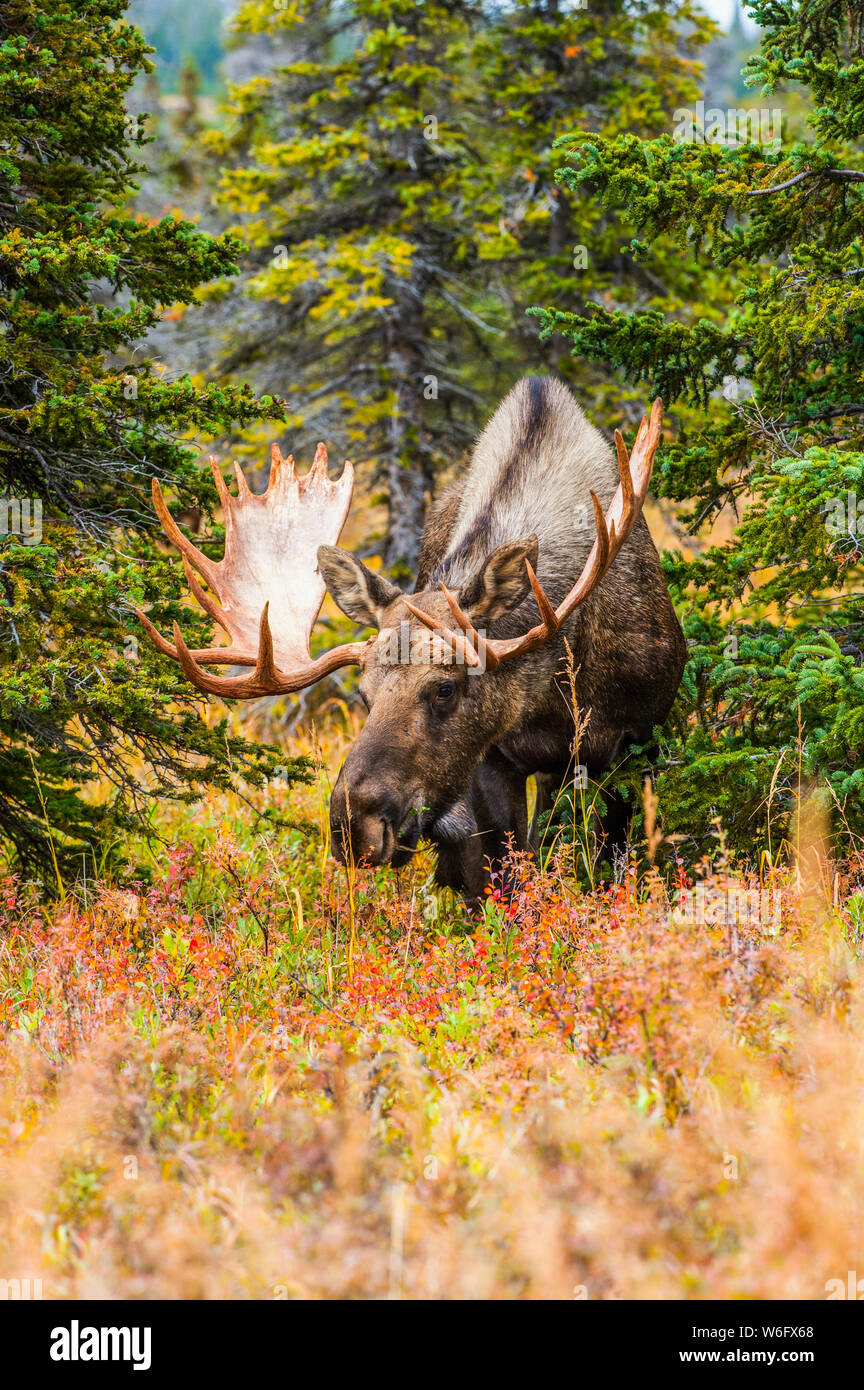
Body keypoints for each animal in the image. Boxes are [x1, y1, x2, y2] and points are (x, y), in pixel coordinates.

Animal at [138, 380, 686, 900]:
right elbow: (506, 878)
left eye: (445, 687)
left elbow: (610, 867)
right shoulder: (490, 761)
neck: (557, 685)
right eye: (363, 694)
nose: (354, 826)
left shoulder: (636, 743)